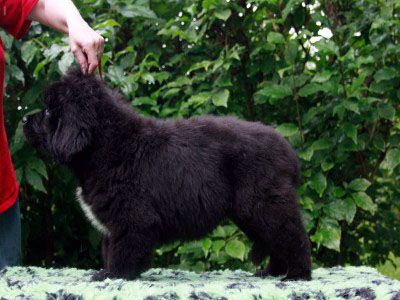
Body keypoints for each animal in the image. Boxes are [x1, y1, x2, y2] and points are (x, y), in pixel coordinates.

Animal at [23, 67, 312, 282]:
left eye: (48, 111)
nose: (24, 120)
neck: (108, 145)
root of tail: (288, 150)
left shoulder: (132, 218)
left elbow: (122, 251)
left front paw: (112, 275)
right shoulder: (113, 222)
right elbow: (110, 248)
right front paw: (107, 272)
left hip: (264, 203)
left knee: (293, 236)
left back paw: (297, 275)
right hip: (250, 212)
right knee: (275, 240)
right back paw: (271, 272)